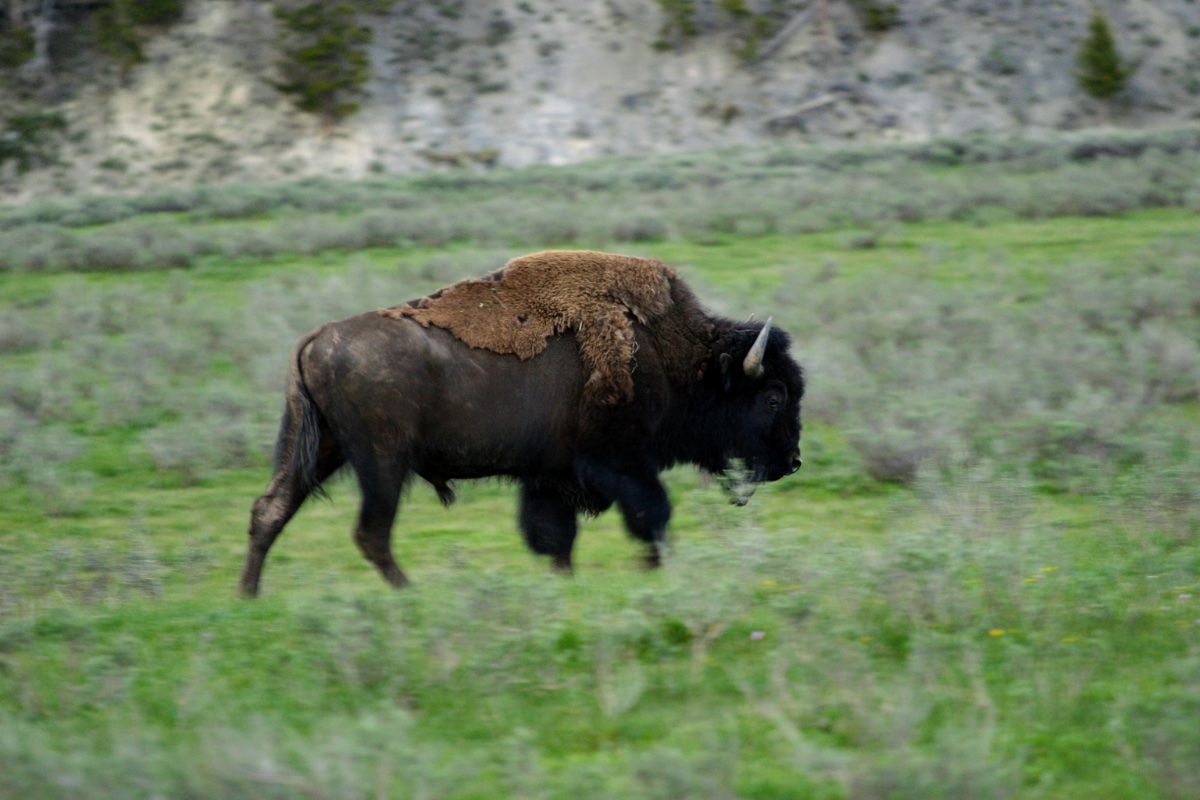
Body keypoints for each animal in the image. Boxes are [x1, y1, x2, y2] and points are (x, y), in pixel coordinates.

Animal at [239, 253, 804, 596]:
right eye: (773, 396)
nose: (792, 461)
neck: (670, 353)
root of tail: (317, 336)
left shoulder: (550, 475)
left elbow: (556, 535)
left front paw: (565, 582)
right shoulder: (619, 462)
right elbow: (652, 515)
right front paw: (653, 569)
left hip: (323, 449)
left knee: (271, 509)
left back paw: (249, 596)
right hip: (381, 461)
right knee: (371, 531)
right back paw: (408, 592)